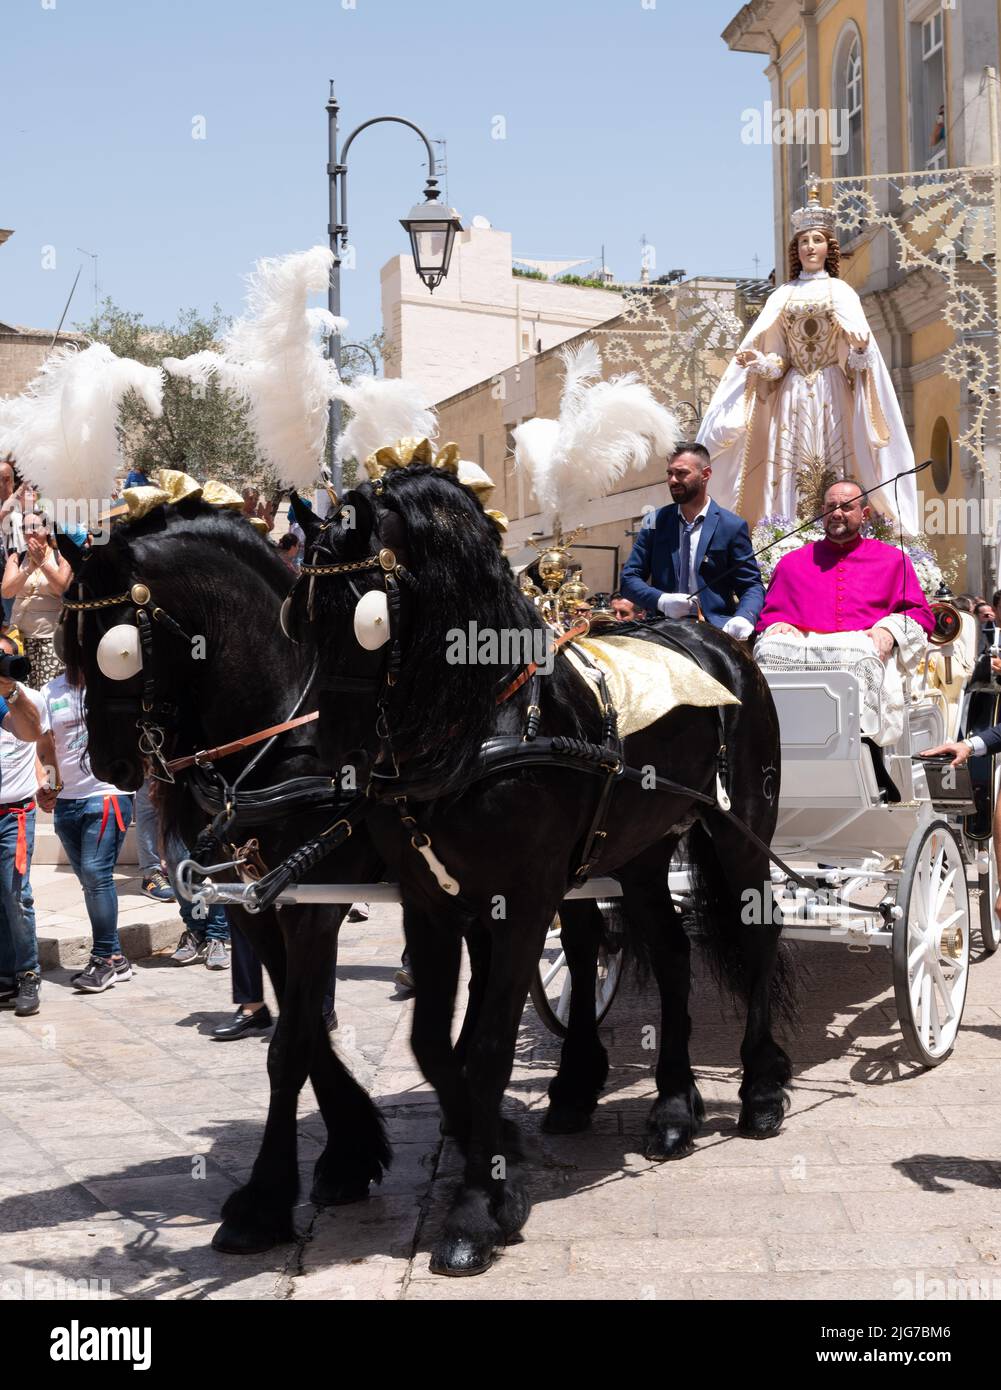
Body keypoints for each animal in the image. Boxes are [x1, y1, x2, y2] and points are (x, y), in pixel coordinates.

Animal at [56, 505, 389, 1256]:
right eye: (71, 646)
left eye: (120, 651)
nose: (111, 765)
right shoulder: (250, 901)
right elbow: (304, 1030)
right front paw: (351, 1151)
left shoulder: (312, 904)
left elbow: (290, 1044)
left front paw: (263, 1203)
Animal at [291, 467, 795, 1278]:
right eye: (298, 616)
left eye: (367, 617)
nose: (330, 764)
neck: (478, 725)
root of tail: (717, 641)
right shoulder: (429, 904)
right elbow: (434, 1045)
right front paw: (500, 1167)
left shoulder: (523, 904)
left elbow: (488, 1047)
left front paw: (473, 1212)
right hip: (639, 855)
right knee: (673, 955)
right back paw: (673, 1108)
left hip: (739, 828)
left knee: (757, 937)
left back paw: (759, 1089)